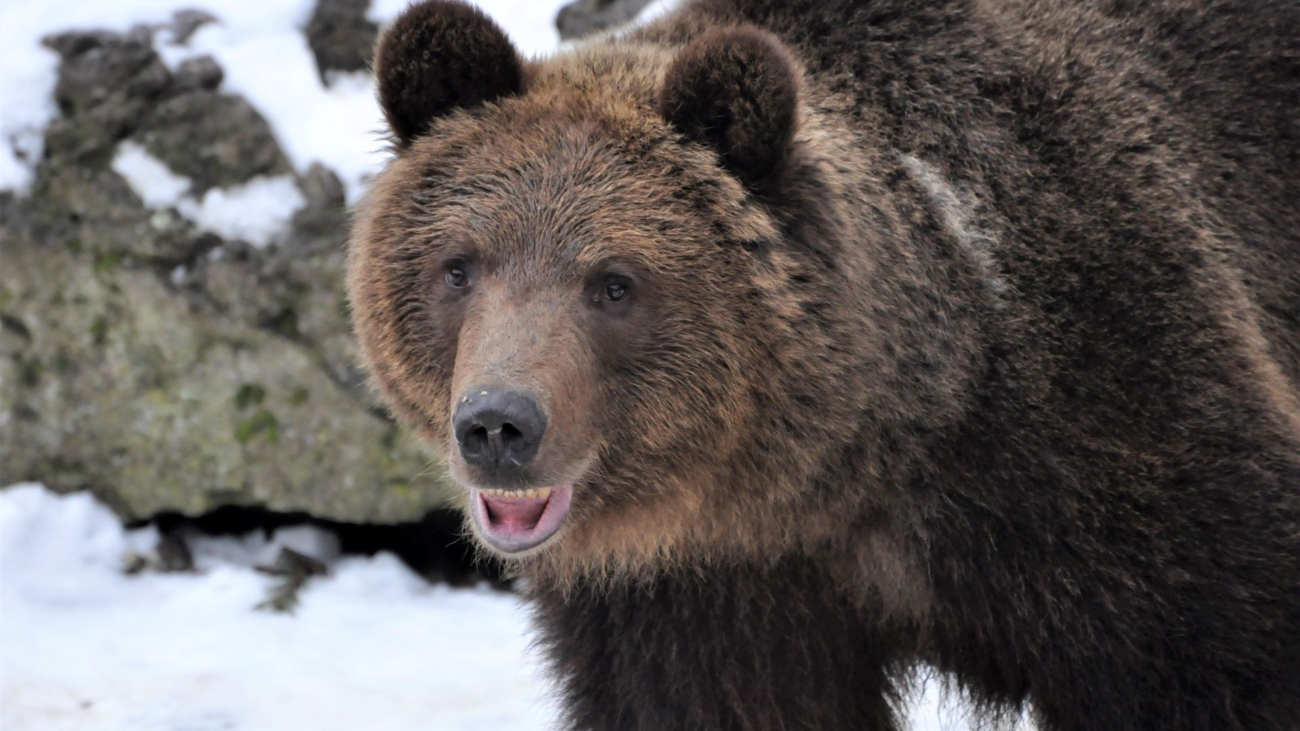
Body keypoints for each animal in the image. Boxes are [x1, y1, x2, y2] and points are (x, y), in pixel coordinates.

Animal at [345, 1, 1300, 723]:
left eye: (614, 282)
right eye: (459, 266)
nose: (499, 424)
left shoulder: (1115, 452)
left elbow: (1221, 649)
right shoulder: (709, 593)